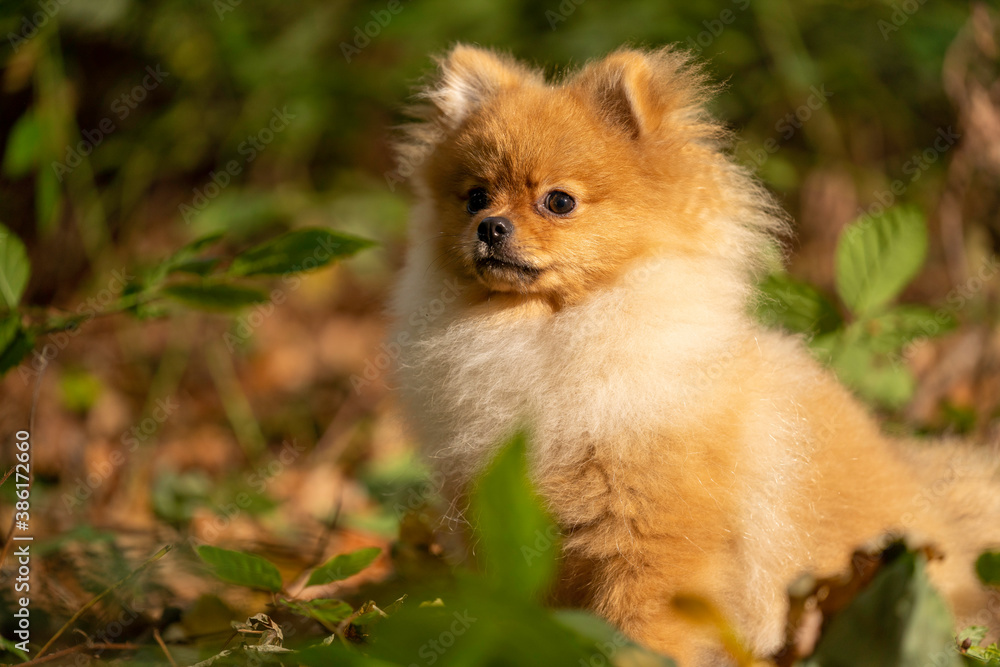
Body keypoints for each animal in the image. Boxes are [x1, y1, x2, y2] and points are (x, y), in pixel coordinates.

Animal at [388, 44, 1000, 664]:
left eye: (558, 202)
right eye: (475, 198)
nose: (489, 227)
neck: (544, 334)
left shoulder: (654, 536)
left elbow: (641, 626)